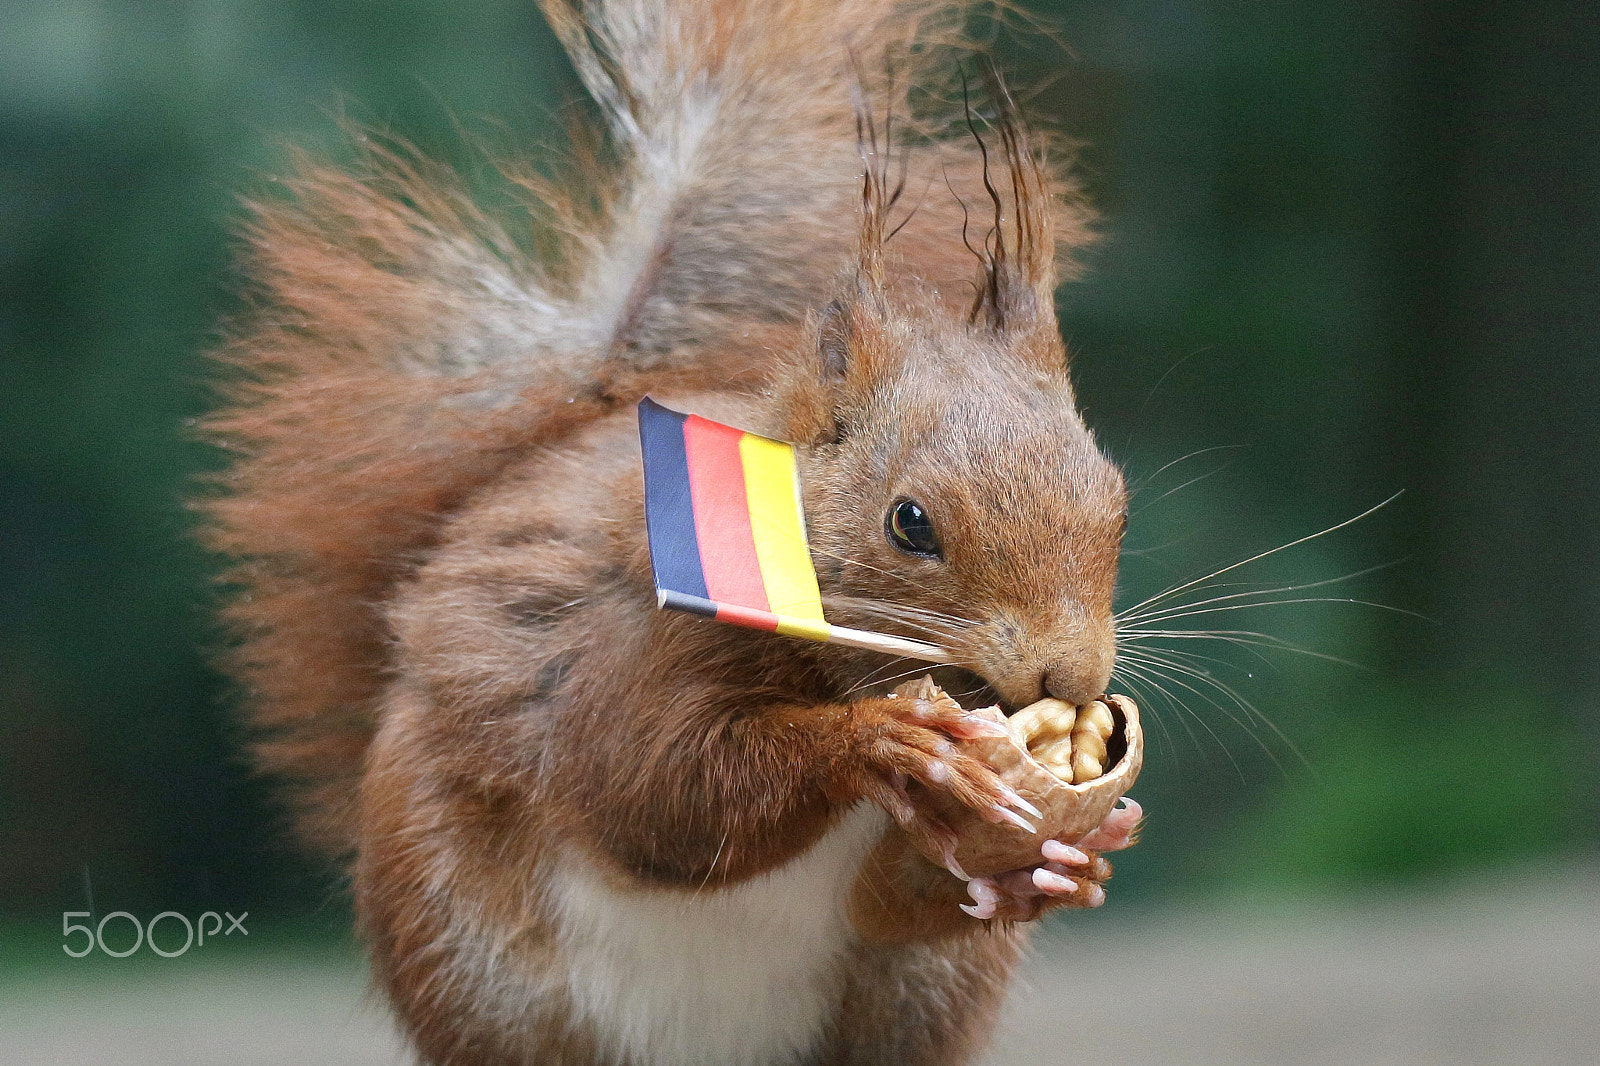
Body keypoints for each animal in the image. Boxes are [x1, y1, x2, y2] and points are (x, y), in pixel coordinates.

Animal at [206, 2, 1145, 1062]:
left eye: (1116, 498)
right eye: (910, 524)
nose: (1073, 676)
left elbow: (897, 902)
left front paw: (1064, 861)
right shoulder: (630, 645)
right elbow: (654, 788)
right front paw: (876, 739)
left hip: (910, 1004)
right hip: (458, 942)